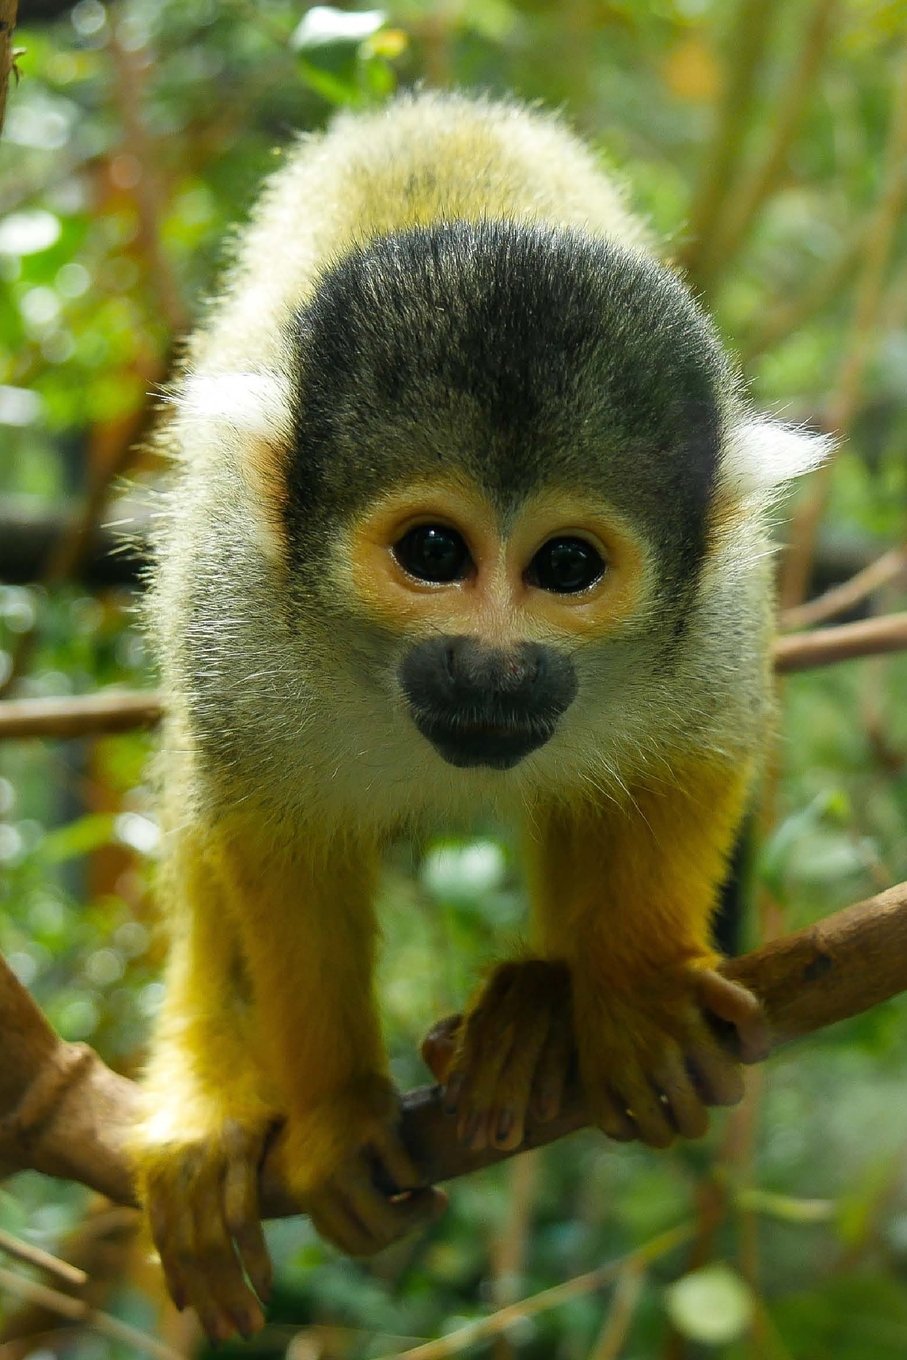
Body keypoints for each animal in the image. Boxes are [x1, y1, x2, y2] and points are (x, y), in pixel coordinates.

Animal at [132, 90, 827, 1342]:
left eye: (566, 566)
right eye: (432, 553)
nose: (491, 668)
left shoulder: (715, 613)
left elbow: (693, 757)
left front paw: (630, 994)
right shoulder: (234, 604)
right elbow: (268, 830)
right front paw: (335, 1116)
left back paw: (537, 1010)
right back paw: (208, 1098)